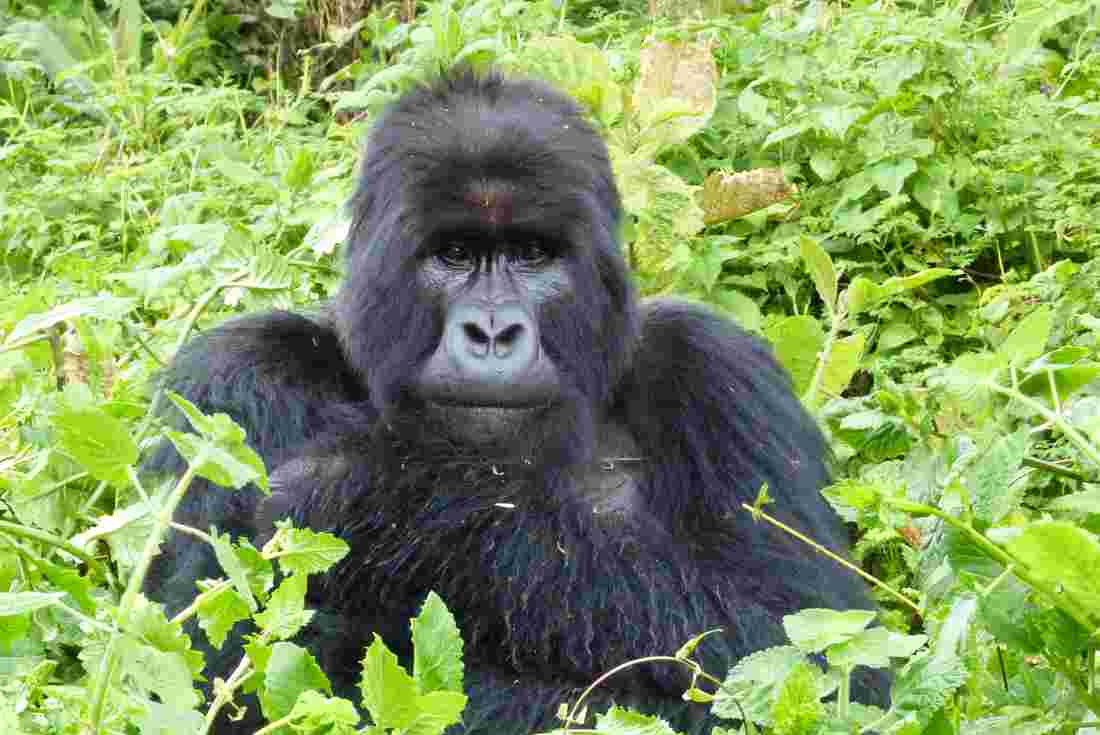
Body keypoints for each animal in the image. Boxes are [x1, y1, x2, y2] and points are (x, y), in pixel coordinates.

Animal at [144, 67, 884, 730]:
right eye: (454, 253)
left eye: (531, 253)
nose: (493, 331)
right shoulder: (234, 378)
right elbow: (210, 674)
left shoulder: (721, 374)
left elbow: (799, 647)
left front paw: (374, 498)